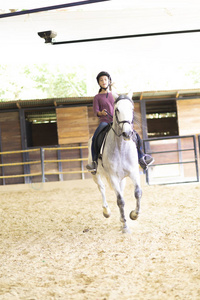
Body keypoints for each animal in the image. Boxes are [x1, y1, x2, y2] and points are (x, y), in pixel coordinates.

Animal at [87, 92, 142, 233]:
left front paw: (133, 215)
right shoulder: (112, 177)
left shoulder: (133, 173)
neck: (121, 148)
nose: (127, 133)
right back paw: (106, 211)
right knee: (101, 188)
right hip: (96, 174)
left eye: (131, 109)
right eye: (117, 110)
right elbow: (120, 200)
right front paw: (125, 227)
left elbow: (138, 193)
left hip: (122, 179)